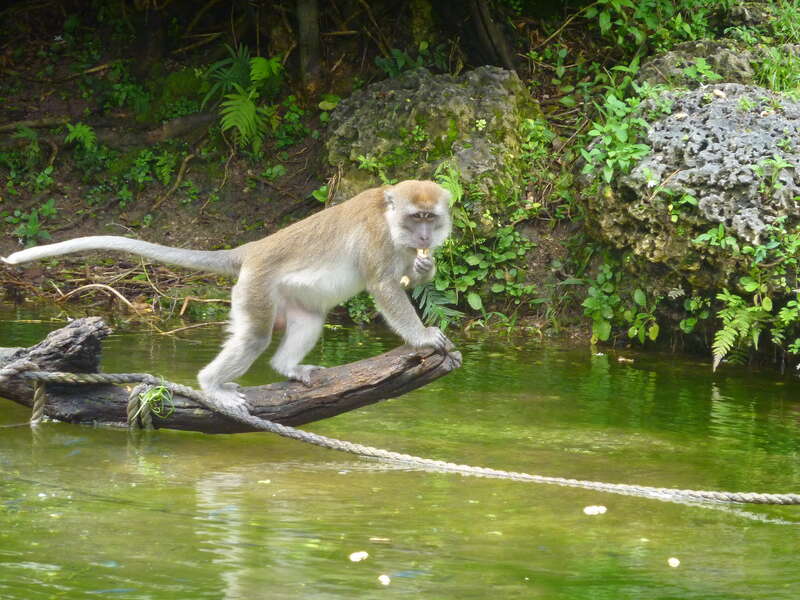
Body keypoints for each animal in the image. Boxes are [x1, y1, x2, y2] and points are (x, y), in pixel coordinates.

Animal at [2, 180, 452, 412]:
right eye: (416, 217)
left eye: (431, 218)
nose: (425, 237)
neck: (391, 222)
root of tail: (252, 250)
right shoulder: (377, 240)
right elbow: (383, 287)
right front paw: (423, 338)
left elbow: (405, 277)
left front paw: (424, 268)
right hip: (256, 287)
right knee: (254, 336)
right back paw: (212, 385)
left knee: (308, 320)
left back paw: (288, 368)